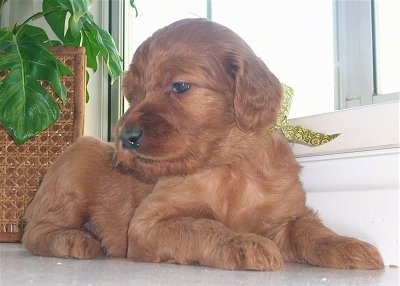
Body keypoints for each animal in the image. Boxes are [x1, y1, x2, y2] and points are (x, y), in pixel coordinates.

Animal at [22, 18, 384, 270]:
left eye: (180, 86)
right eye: (133, 95)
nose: (125, 137)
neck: (230, 164)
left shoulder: (285, 214)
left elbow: (309, 228)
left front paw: (347, 246)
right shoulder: (148, 223)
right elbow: (202, 224)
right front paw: (243, 244)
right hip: (78, 159)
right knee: (34, 232)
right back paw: (76, 239)